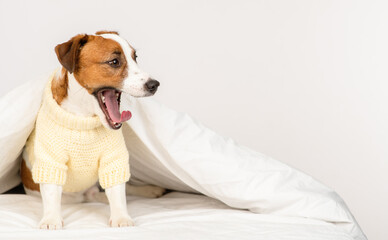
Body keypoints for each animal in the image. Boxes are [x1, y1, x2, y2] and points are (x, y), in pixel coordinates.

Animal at [20, 31, 165, 230]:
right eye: (114, 62)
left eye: (135, 57)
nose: (154, 84)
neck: (83, 120)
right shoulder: (50, 160)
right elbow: (51, 193)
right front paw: (51, 219)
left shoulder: (113, 159)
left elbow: (117, 191)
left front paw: (121, 217)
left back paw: (149, 189)